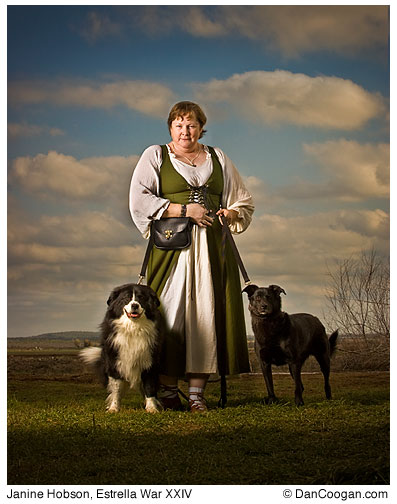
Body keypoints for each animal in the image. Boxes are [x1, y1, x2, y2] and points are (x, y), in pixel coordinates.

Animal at [79, 284, 163, 414]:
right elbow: (116, 389)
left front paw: (152, 408)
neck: (133, 327)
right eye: (126, 298)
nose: (134, 305)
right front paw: (113, 408)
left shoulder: (150, 362)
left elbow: (149, 387)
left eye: (141, 297)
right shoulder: (115, 362)